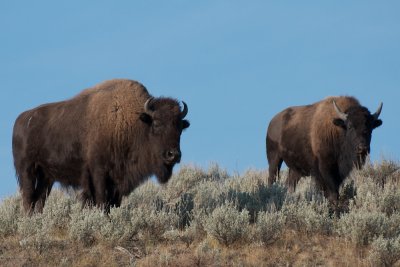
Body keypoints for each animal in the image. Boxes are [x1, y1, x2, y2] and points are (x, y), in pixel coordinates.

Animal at [10, 78, 189, 215]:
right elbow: (102, 201)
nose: (173, 155)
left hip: (47, 176)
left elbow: (113, 203)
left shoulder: (118, 181)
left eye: (180, 127)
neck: (134, 122)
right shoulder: (99, 173)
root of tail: (21, 120)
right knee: (28, 197)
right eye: (157, 124)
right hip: (27, 170)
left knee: (39, 199)